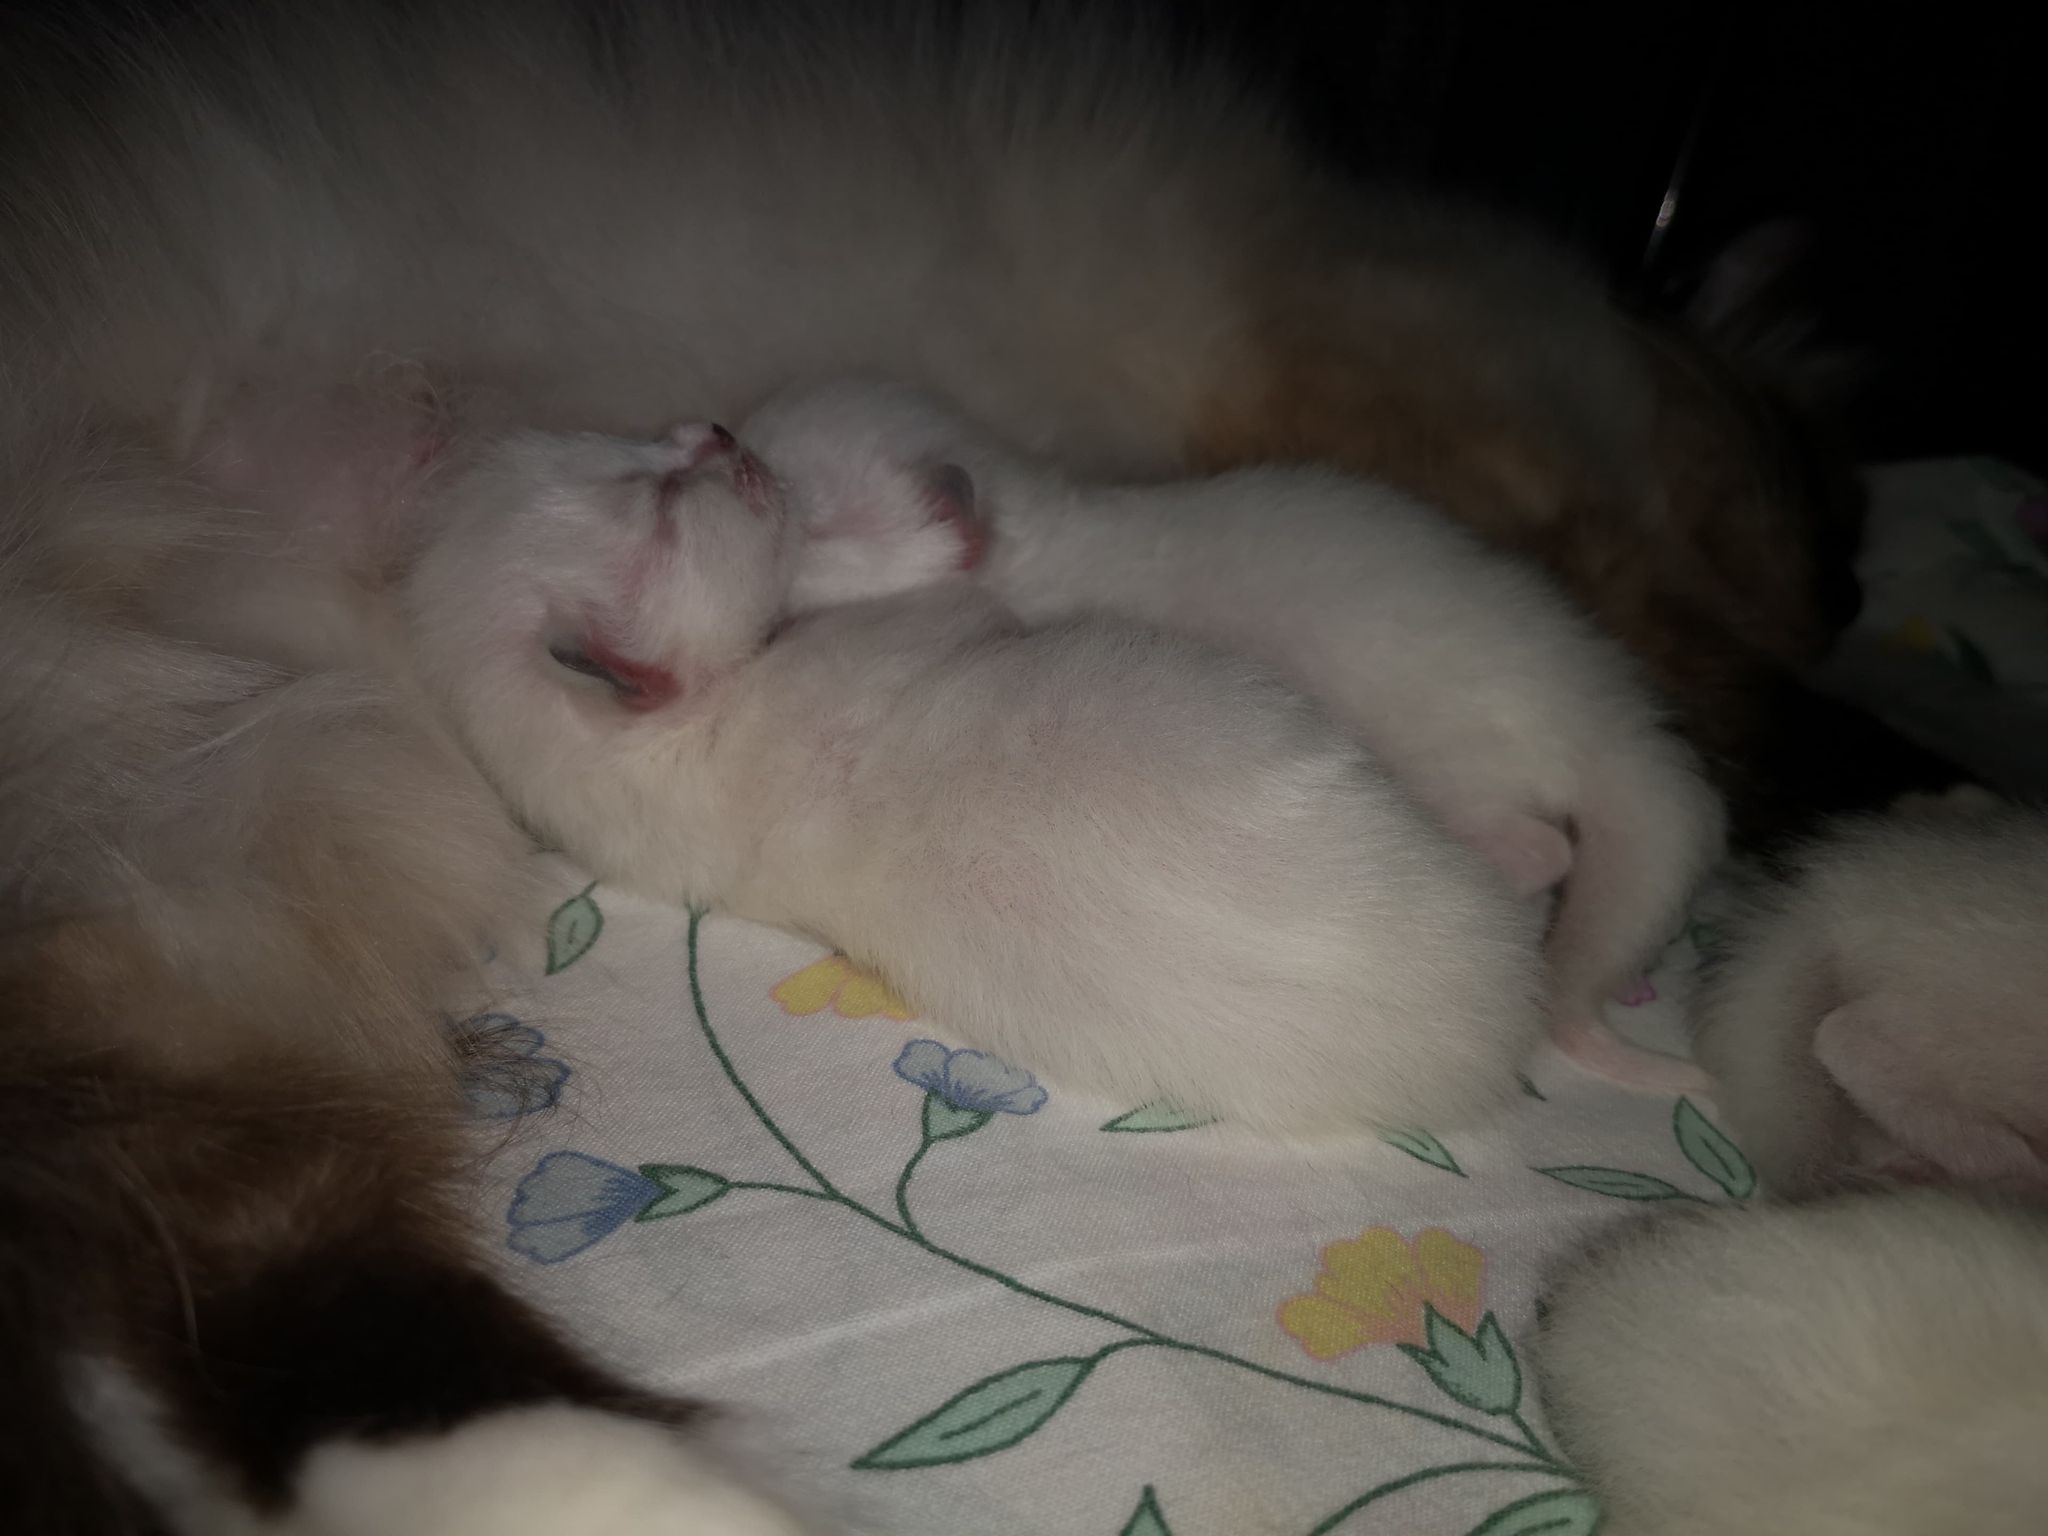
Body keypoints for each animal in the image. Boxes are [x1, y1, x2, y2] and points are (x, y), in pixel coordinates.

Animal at [741, 379, 1725, 1092]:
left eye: (804, 512)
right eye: (750, 442)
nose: (720, 446)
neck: (1046, 528)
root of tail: (1609, 713)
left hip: (1457, 761)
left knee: (1543, 848)